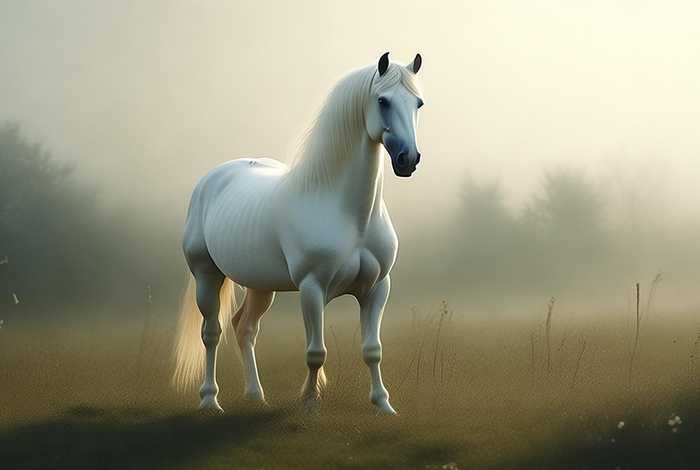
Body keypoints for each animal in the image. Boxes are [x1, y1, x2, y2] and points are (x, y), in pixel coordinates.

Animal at [173, 52, 424, 415]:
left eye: (418, 103)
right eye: (383, 100)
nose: (408, 159)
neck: (349, 214)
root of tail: (210, 180)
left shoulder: (377, 289)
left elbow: (372, 349)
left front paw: (383, 404)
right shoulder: (312, 288)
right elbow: (315, 352)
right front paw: (309, 402)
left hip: (261, 286)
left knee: (245, 328)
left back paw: (256, 395)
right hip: (207, 275)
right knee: (212, 333)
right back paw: (209, 399)